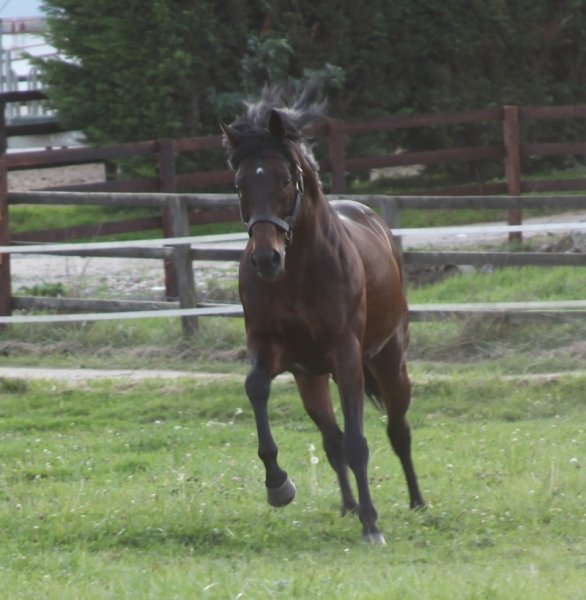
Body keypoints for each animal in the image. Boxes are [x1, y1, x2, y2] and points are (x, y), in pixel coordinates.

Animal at [221, 85, 424, 544]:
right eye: (239, 184)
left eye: (284, 179)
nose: (265, 259)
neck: (298, 273)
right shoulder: (270, 348)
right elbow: (256, 389)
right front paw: (278, 486)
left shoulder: (345, 357)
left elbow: (358, 443)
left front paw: (372, 525)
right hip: (309, 378)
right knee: (331, 439)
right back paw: (347, 506)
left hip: (388, 361)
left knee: (397, 431)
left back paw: (417, 503)